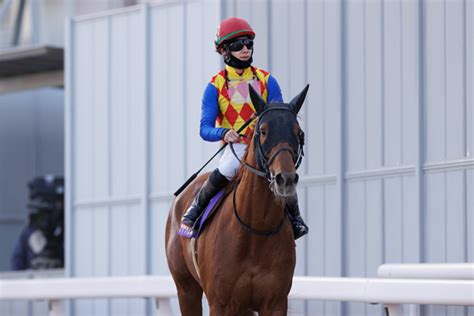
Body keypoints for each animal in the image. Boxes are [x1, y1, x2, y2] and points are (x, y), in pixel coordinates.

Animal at [165, 84, 310, 316]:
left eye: (298, 133)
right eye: (263, 131)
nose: (285, 179)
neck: (255, 228)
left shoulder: (275, 302)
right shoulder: (220, 303)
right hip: (186, 288)